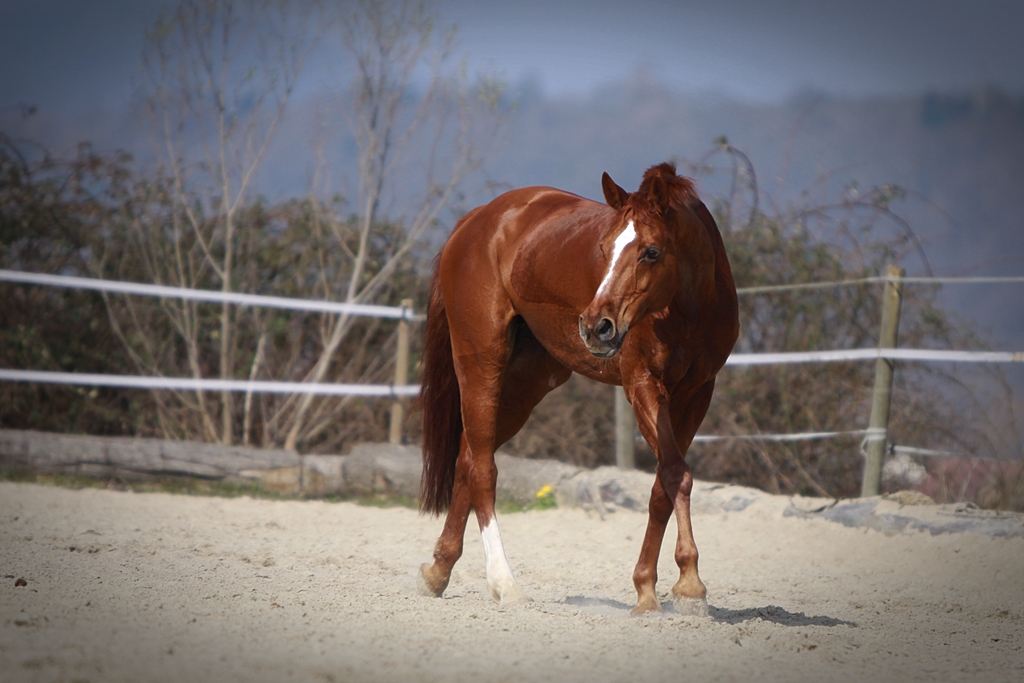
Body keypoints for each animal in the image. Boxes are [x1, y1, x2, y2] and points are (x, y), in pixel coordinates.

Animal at [415, 163, 737, 614]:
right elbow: (677, 473)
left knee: (468, 458)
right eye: (603, 247)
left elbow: (663, 485)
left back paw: (439, 570)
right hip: (481, 362)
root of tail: (476, 220)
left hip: (526, 384)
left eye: (652, 251)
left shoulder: (696, 395)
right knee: (482, 470)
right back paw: (505, 583)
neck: (690, 308)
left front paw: (646, 589)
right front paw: (690, 585)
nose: (596, 326)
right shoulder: (642, 384)